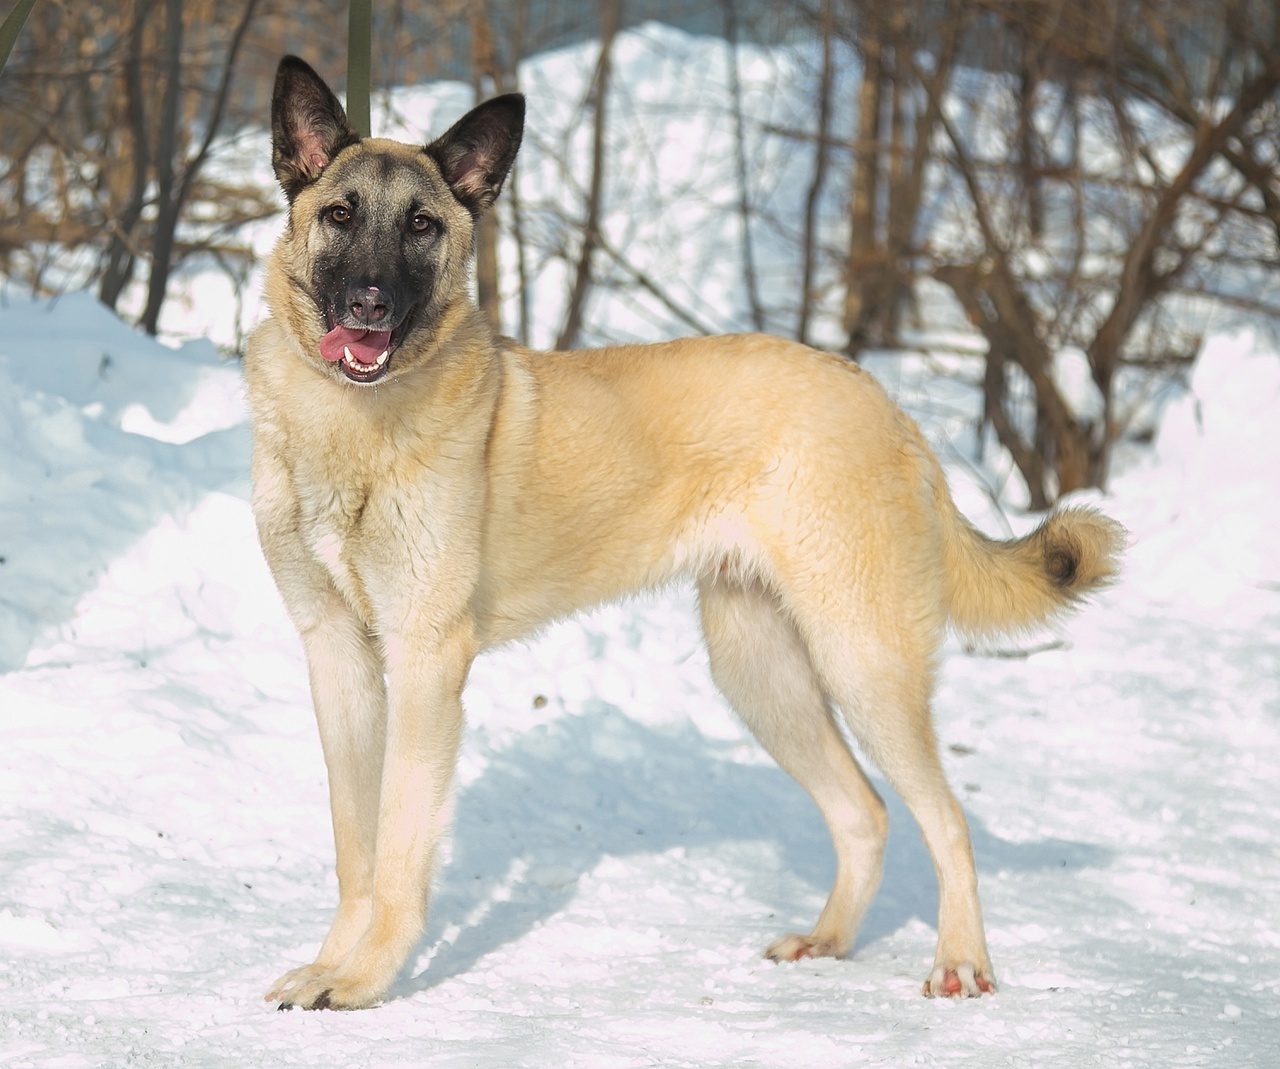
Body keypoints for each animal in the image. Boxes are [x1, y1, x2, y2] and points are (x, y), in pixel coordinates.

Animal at [244, 56, 1126, 1013]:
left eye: (421, 225)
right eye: (340, 215)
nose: (368, 304)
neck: (349, 425)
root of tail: (884, 402)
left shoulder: (425, 660)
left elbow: (400, 851)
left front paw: (365, 979)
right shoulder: (338, 658)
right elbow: (356, 850)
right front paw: (332, 964)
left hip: (862, 662)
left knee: (946, 818)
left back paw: (960, 958)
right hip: (761, 671)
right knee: (865, 811)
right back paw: (828, 938)